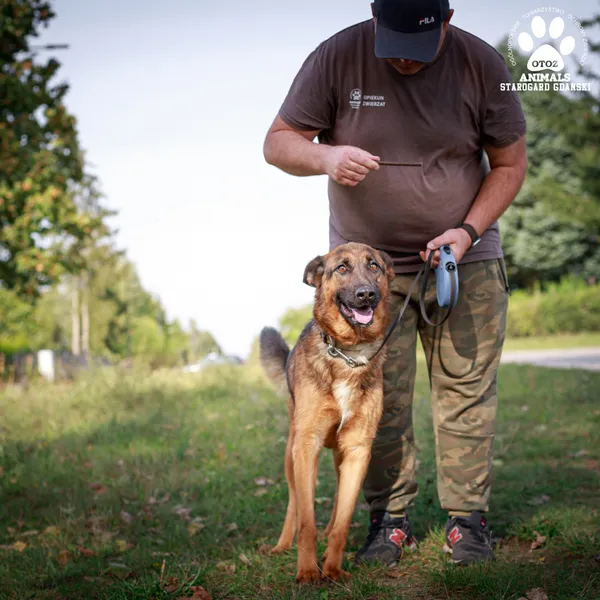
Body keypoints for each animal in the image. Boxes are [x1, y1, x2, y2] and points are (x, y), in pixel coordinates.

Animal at [258, 241, 396, 584]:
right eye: (342, 268)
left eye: (373, 266)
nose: (366, 294)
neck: (348, 355)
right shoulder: (307, 447)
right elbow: (307, 522)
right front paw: (308, 571)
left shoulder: (359, 451)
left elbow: (342, 523)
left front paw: (332, 569)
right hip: (292, 454)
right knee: (294, 503)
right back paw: (282, 546)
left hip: (340, 459)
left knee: (335, 506)